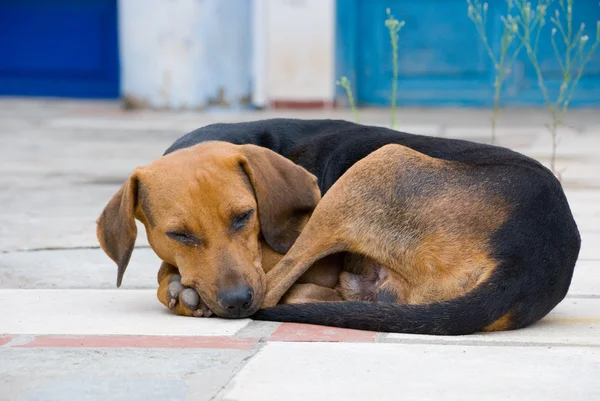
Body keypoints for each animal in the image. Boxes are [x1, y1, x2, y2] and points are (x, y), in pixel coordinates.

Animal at [98, 119, 580, 334]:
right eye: (179, 234)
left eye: (244, 217)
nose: (235, 302)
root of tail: (525, 265)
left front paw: (181, 289)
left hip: (376, 166)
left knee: (275, 290)